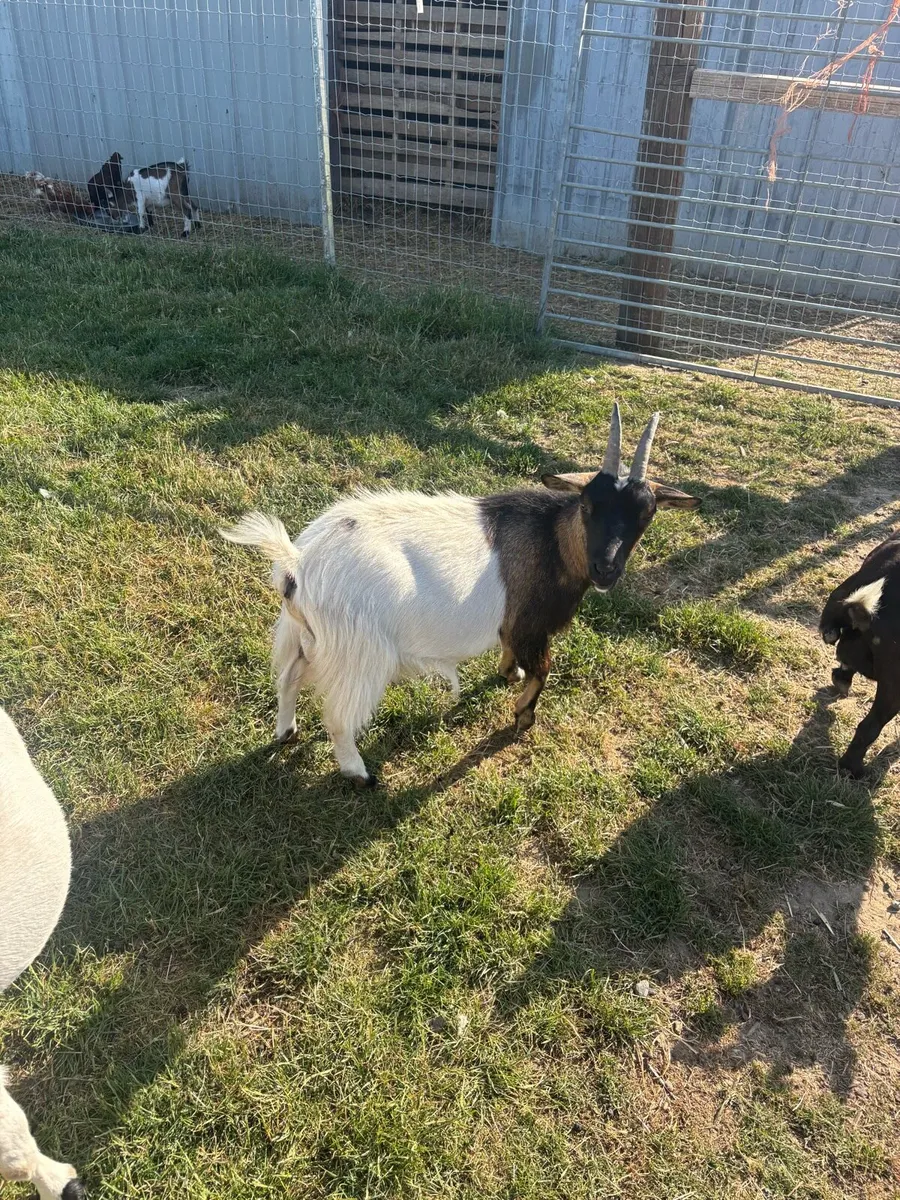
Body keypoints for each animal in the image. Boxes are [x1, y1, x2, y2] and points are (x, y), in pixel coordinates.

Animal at [221, 405, 700, 786]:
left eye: (646, 514)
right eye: (587, 505)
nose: (606, 568)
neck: (554, 542)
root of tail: (298, 563)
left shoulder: (513, 628)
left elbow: (514, 657)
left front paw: (509, 674)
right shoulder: (531, 626)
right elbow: (544, 670)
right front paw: (523, 716)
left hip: (309, 638)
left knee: (288, 679)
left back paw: (286, 732)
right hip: (359, 652)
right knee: (338, 717)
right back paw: (359, 773)